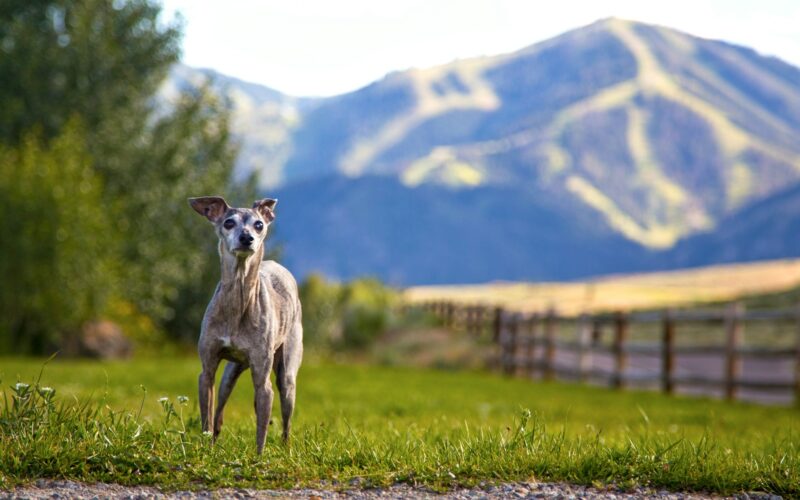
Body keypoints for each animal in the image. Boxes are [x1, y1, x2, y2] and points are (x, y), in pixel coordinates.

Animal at [188, 197, 304, 456]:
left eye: (259, 224)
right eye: (228, 222)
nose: (246, 237)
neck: (237, 302)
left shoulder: (263, 382)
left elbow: (261, 430)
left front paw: (258, 458)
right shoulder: (207, 372)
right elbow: (206, 417)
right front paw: (206, 449)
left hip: (286, 376)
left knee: (286, 421)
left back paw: (286, 449)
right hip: (229, 375)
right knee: (219, 411)